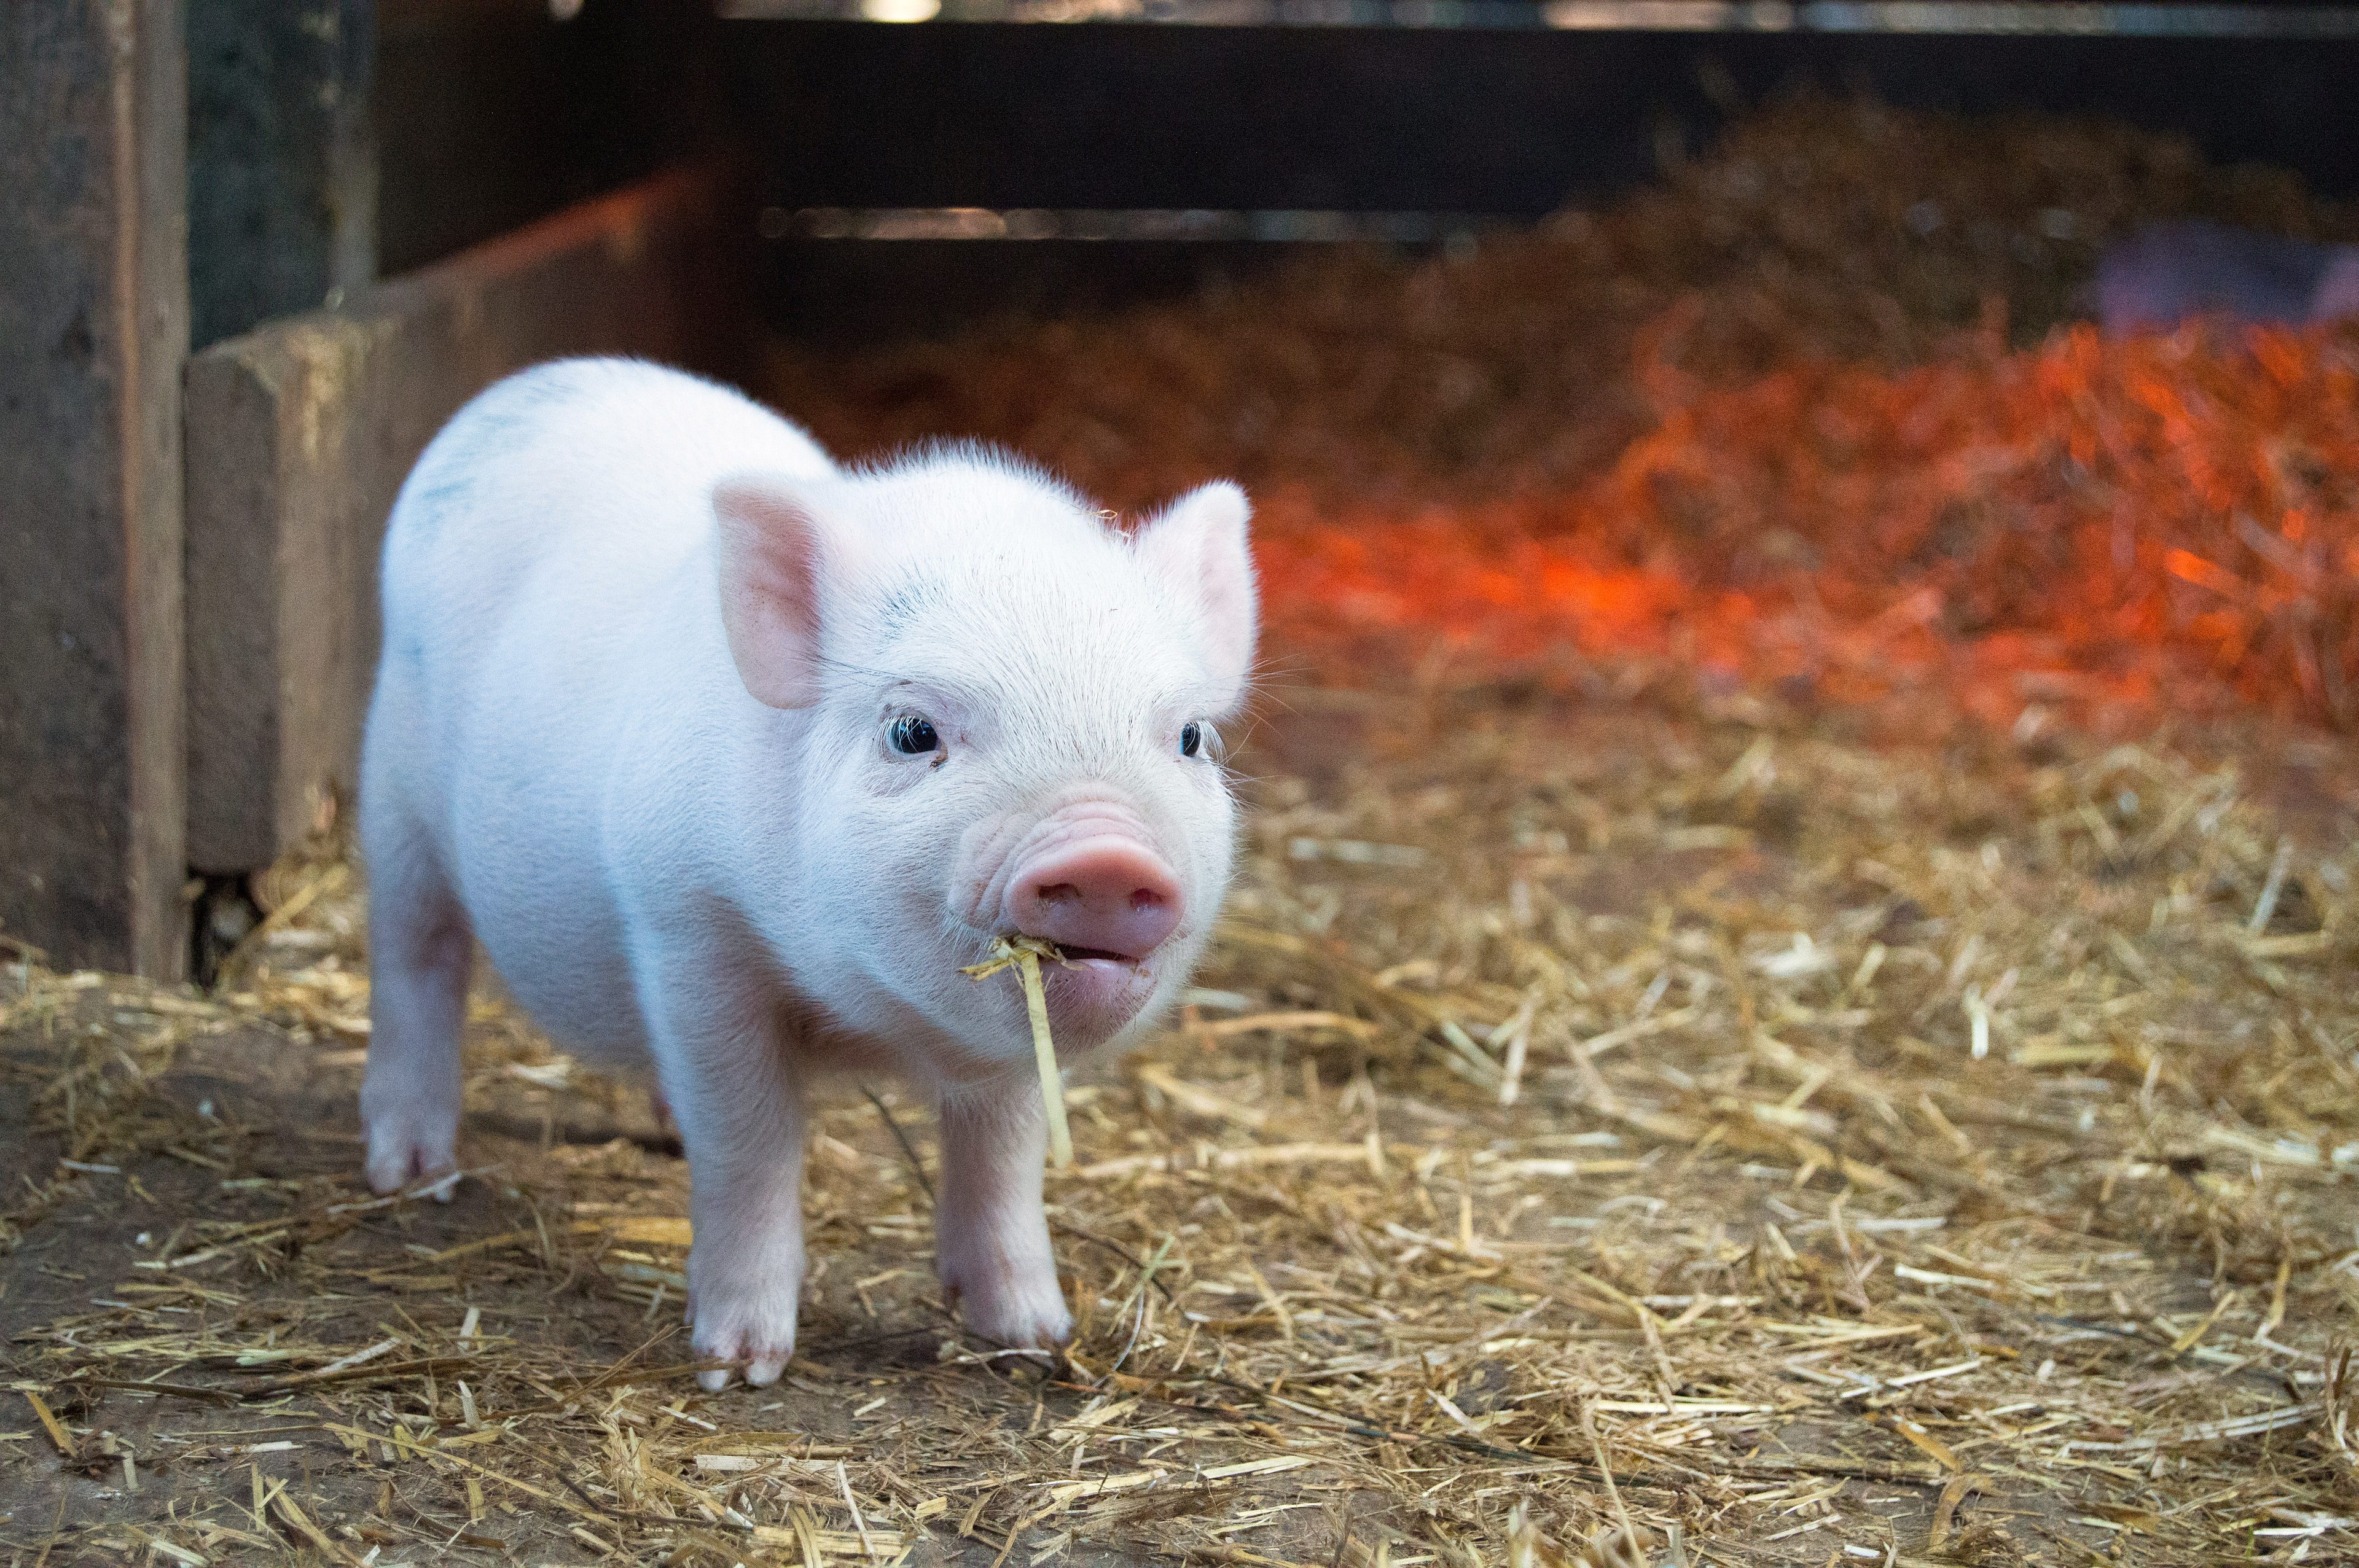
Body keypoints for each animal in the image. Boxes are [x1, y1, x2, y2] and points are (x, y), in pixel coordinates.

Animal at [357, 357, 1256, 1387]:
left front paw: (1034, 1337)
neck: (870, 1022)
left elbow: (1004, 1153)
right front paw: (738, 1366)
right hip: (393, 794)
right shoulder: (687, 927)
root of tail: (535, 383)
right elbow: (749, 1142)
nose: (1105, 853)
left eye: (1190, 737)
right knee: (416, 957)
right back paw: (409, 1174)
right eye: (912, 730)